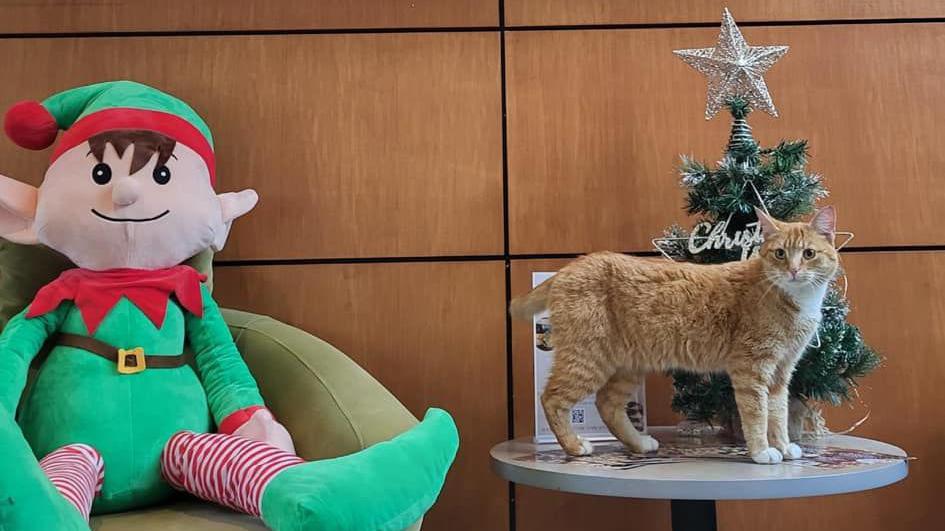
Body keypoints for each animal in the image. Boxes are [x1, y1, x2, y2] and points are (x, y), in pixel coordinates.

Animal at [512, 208, 836, 466]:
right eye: (780, 254)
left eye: (809, 254)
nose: (793, 271)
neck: (795, 299)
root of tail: (573, 265)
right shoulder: (752, 370)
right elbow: (757, 414)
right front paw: (761, 451)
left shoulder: (781, 372)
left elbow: (778, 414)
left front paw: (783, 445)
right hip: (587, 359)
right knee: (552, 398)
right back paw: (574, 445)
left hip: (628, 366)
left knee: (607, 404)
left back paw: (639, 443)